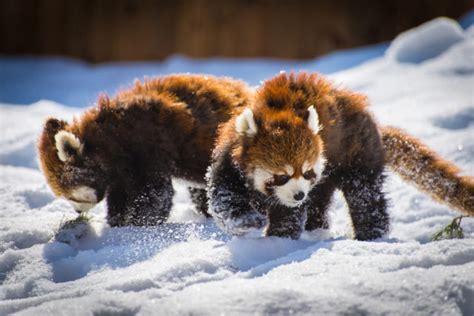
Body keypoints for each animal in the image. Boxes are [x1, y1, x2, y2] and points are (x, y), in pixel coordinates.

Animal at [38, 74, 252, 227]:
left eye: (71, 196)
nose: (77, 212)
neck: (110, 136)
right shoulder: (119, 172)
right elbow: (119, 195)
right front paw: (117, 220)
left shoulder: (148, 145)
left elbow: (155, 192)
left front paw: (138, 223)